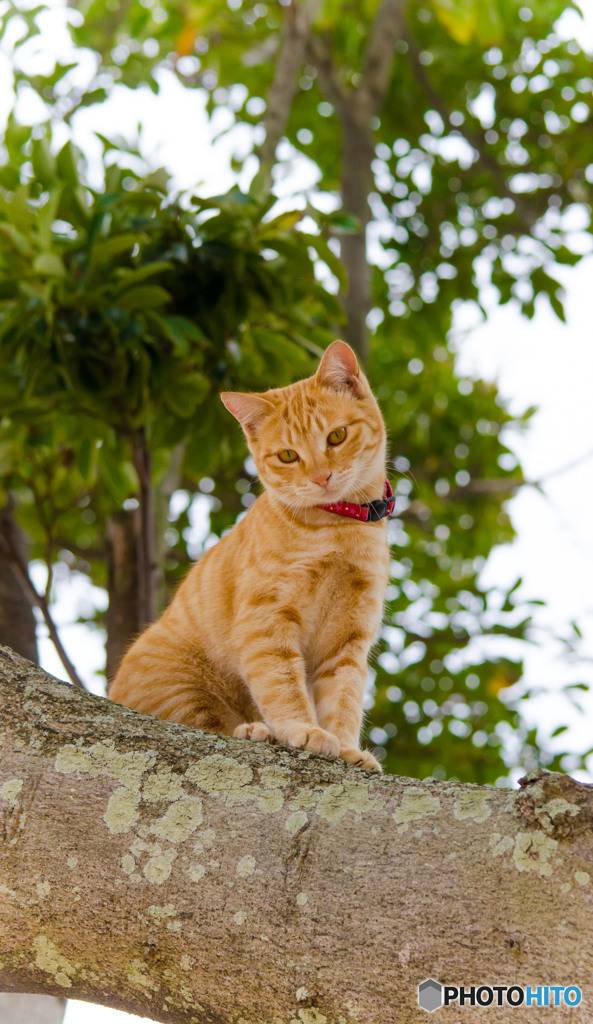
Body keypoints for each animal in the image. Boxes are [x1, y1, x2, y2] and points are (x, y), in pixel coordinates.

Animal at [109, 339, 391, 770]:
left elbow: (343, 700)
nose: (321, 478)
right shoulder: (266, 620)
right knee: (202, 726)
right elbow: (283, 685)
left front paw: (347, 748)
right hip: (183, 680)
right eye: (288, 456)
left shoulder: (348, 640)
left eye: (337, 436)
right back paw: (255, 731)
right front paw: (304, 730)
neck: (338, 528)